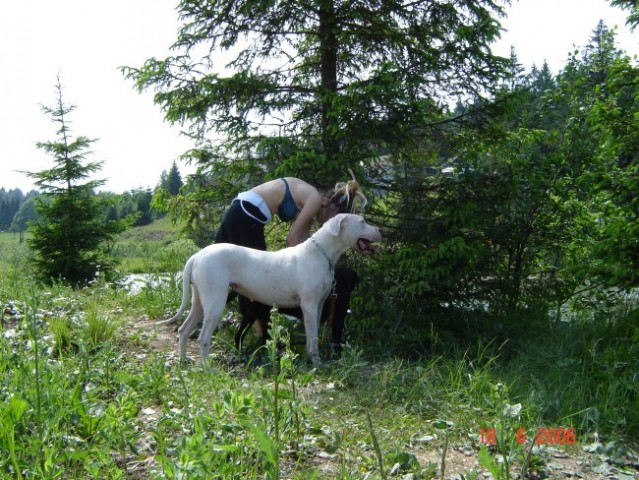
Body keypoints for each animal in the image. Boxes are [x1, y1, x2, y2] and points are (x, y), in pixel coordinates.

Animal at [161, 214, 380, 364]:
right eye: (362, 221)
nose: (380, 230)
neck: (322, 253)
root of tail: (197, 255)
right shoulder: (308, 306)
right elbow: (312, 336)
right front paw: (316, 362)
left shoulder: (318, 307)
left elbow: (314, 336)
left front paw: (313, 359)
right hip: (215, 302)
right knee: (203, 338)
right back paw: (209, 369)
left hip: (199, 301)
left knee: (184, 329)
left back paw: (183, 361)